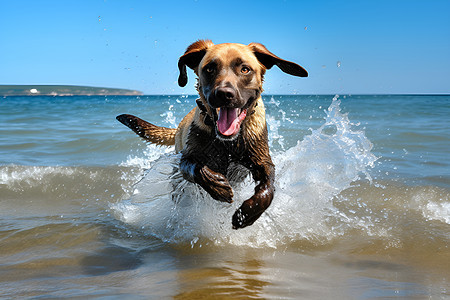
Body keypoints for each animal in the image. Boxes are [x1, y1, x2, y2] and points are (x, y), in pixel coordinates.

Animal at [116, 39, 308, 227]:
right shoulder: (187, 156)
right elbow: (193, 167)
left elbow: (268, 186)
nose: (224, 94)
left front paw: (248, 213)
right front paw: (218, 186)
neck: (229, 143)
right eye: (209, 69)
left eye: (245, 69)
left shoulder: (261, 158)